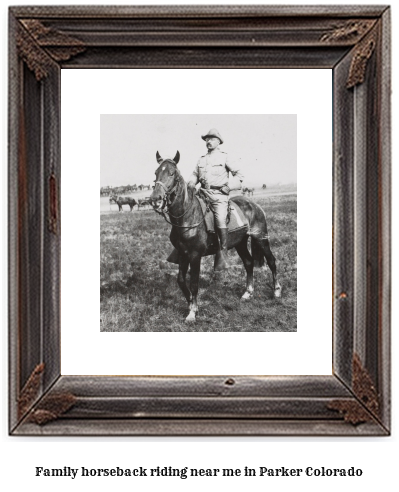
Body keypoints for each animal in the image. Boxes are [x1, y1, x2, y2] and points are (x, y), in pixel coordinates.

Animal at [148, 152, 282, 324]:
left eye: (172, 173)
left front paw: (192, 313)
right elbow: (181, 280)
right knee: (248, 263)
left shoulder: (195, 255)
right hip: (240, 243)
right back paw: (248, 292)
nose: (155, 200)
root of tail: (254, 205)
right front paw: (192, 305)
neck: (188, 216)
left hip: (261, 238)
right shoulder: (183, 254)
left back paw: (276, 291)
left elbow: (194, 283)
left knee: (271, 261)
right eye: (156, 173)